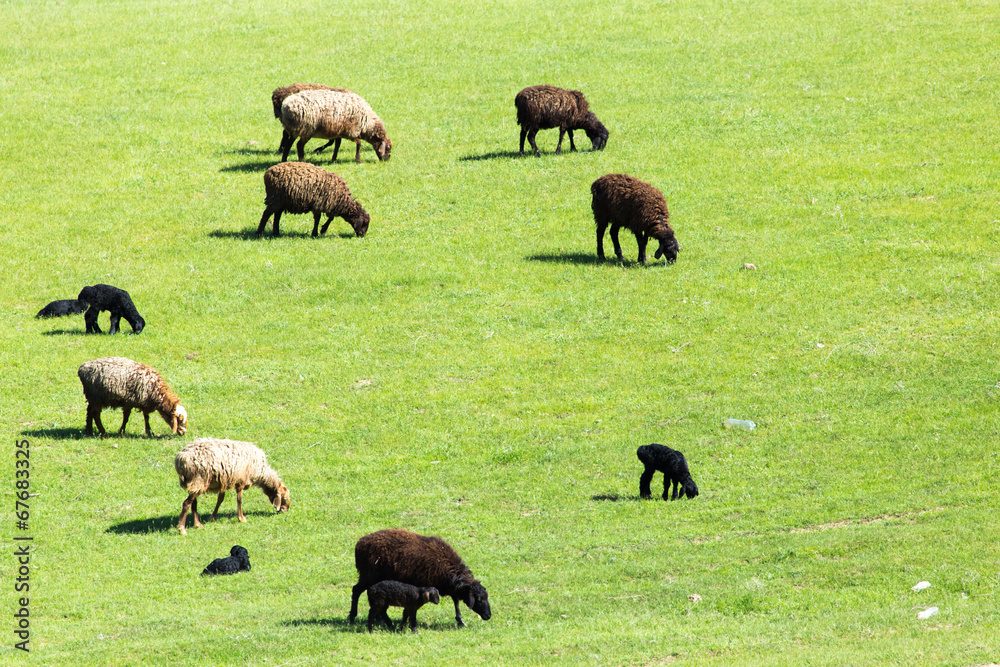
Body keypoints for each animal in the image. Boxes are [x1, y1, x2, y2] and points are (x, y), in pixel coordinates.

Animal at [349, 528, 491, 629]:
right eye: (479, 599)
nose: (488, 616)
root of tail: (359, 544)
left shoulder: (449, 586)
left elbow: (456, 600)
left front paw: (460, 620)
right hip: (368, 575)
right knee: (356, 590)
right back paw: (352, 617)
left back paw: (378, 618)